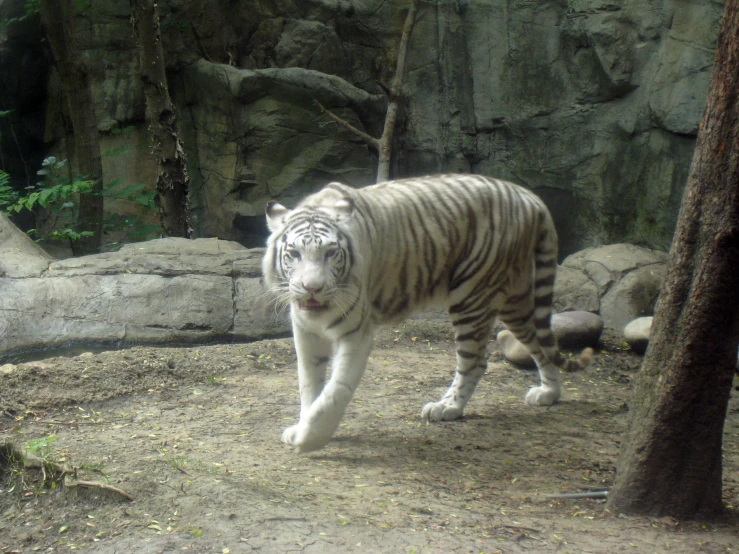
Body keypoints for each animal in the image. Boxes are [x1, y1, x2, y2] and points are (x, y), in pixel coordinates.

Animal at [264, 175, 592, 450]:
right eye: (293, 254)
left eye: (331, 253)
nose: (312, 288)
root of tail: (528, 196)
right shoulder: (305, 330)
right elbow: (309, 384)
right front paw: (302, 426)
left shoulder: (356, 333)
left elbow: (335, 390)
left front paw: (310, 438)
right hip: (516, 300)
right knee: (539, 342)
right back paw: (549, 394)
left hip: (471, 294)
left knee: (474, 361)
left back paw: (447, 407)